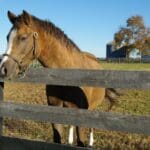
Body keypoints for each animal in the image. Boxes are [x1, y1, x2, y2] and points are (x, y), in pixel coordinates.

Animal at [0, 10, 116, 148]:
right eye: (7, 37)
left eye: (23, 37)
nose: (3, 69)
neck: (67, 77)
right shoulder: (56, 113)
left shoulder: (82, 118)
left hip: (92, 109)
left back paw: (91, 143)